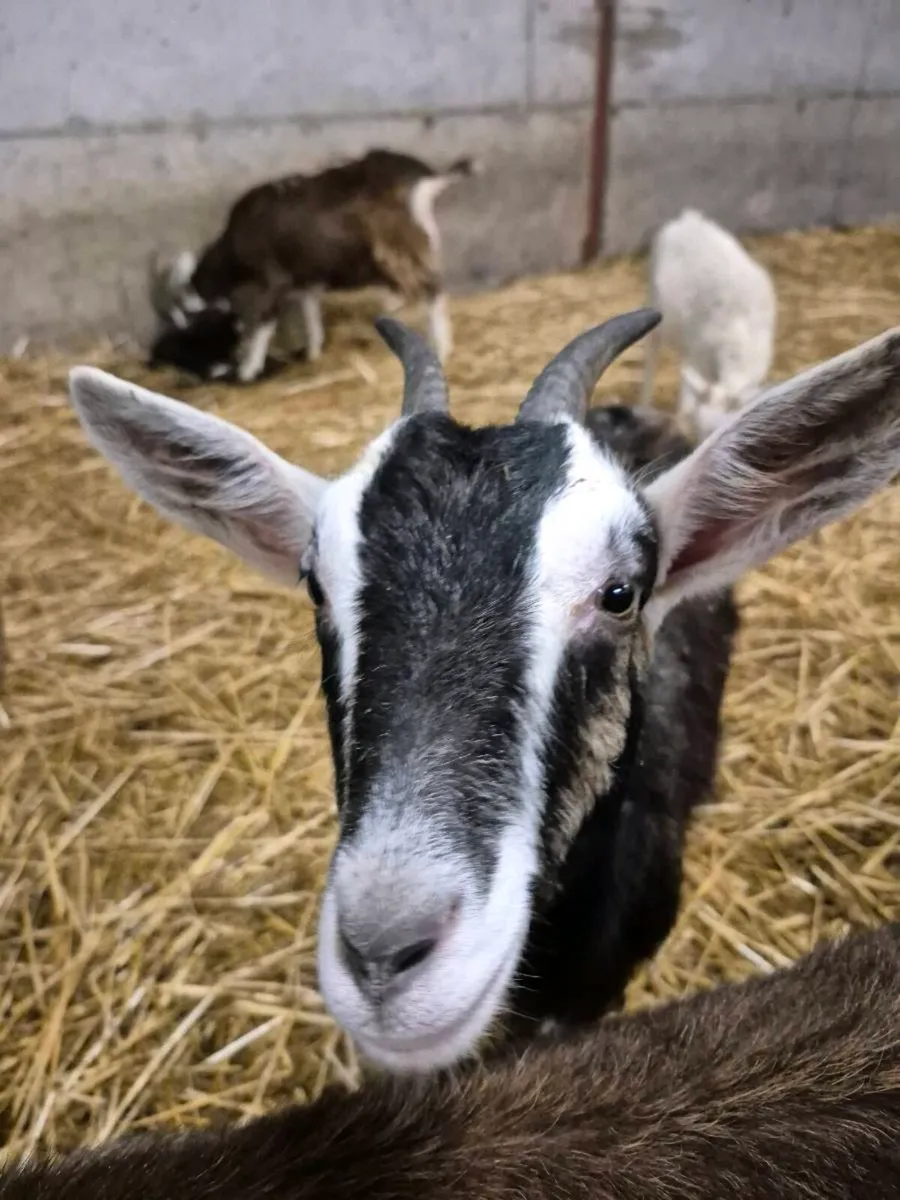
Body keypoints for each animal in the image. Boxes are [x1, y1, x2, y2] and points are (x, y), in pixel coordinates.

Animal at [149, 148, 477, 383]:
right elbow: (310, 313)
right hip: (419, 243)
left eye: (189, 327)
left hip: (398, 246)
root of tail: (426, 178)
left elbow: (265, 324)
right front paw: (314, 352)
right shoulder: (305, 279)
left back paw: (442, 348)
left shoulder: (273, 280)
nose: (207, 369)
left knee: (431, 288)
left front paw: (248, 369)